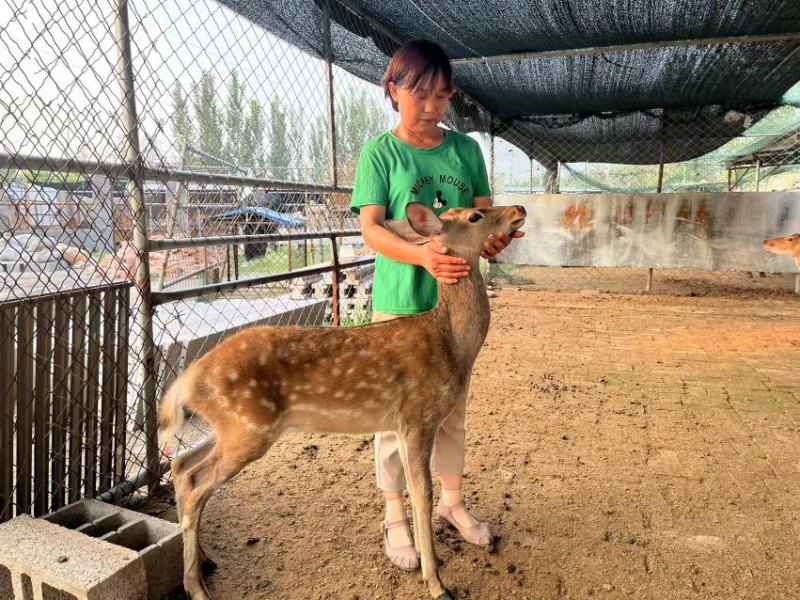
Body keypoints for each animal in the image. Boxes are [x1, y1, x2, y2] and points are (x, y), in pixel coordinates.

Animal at [160, 203, 528, 600]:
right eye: (475, 216)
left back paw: (205, 561)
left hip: (231, 427)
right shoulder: (416, 416)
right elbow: (422, 494)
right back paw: (197, 587)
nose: (519, 208)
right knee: (195, 485)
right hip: (249, 426)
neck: (451, 345)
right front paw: (436, 583)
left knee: (182, 467)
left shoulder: (412, 421)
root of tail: (188, 379)